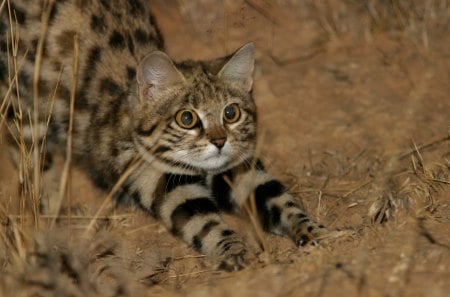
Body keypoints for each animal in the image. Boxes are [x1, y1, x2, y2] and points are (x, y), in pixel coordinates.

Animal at [0, 0, 326, 270]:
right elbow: (204, 222)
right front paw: (231, 249)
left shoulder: (238, 167)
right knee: (28, 152)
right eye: (187, 118)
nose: (219, 141)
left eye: (231, 113)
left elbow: (280, 200)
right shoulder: (154, 175)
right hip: (19, 97)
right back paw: (51, 201)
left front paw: (312, 230)